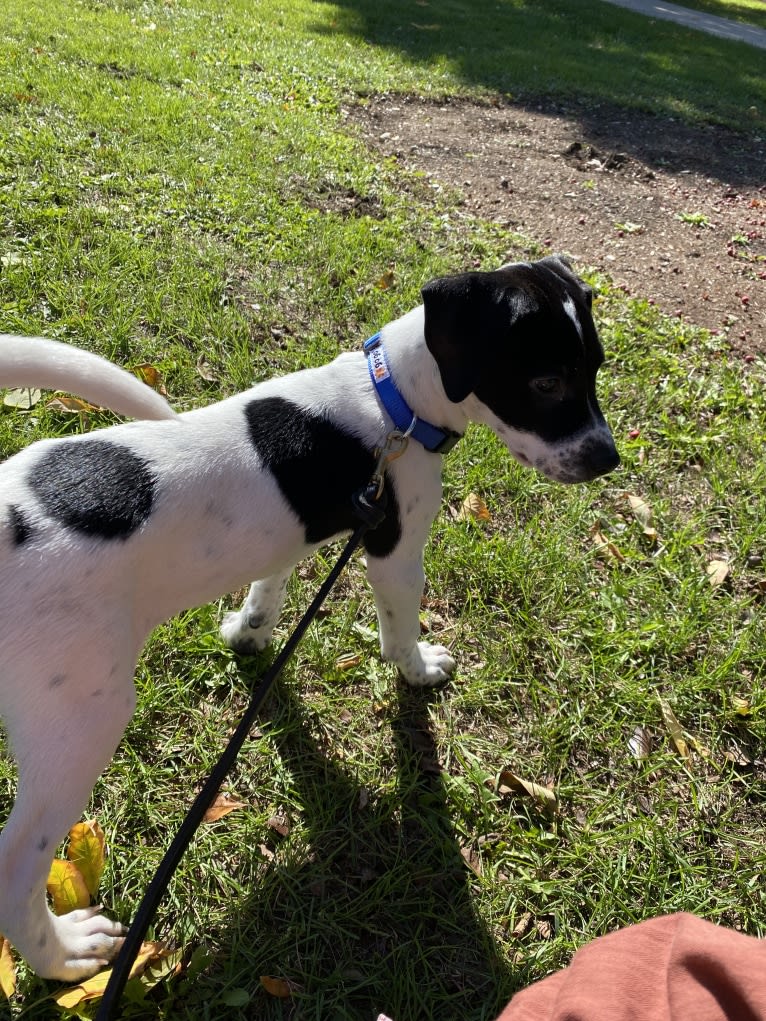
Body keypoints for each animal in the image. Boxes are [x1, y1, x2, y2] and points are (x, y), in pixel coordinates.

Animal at [0, 255, 616, 980]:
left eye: (597, 367)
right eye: (546, 382)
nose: (607, 459)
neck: (391, 402)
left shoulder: (305, 532)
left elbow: (269, 584)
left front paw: (250, 634)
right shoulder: (395, 548)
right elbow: (399, 629)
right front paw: (418, 669)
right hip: (80, 725)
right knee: (16, 869)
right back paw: (63, 955)